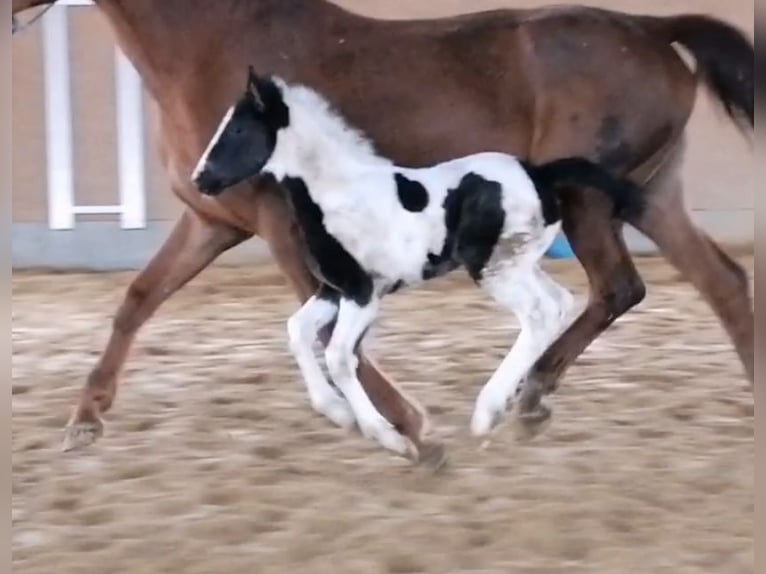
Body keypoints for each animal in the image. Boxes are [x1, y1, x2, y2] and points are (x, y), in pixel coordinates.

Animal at [194, 66, 648, 454]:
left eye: (237, 128)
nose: (200, 179)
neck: (337, 193)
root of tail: (540, 175)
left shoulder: (363, 294)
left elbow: (340, 357)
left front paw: (386, 437)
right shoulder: (333, 290)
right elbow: (298, 331)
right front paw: (337, 412)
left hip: (494, 270)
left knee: (539, 313)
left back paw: (487, 413)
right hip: (518, 264)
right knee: (558, 302)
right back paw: (518, 404)